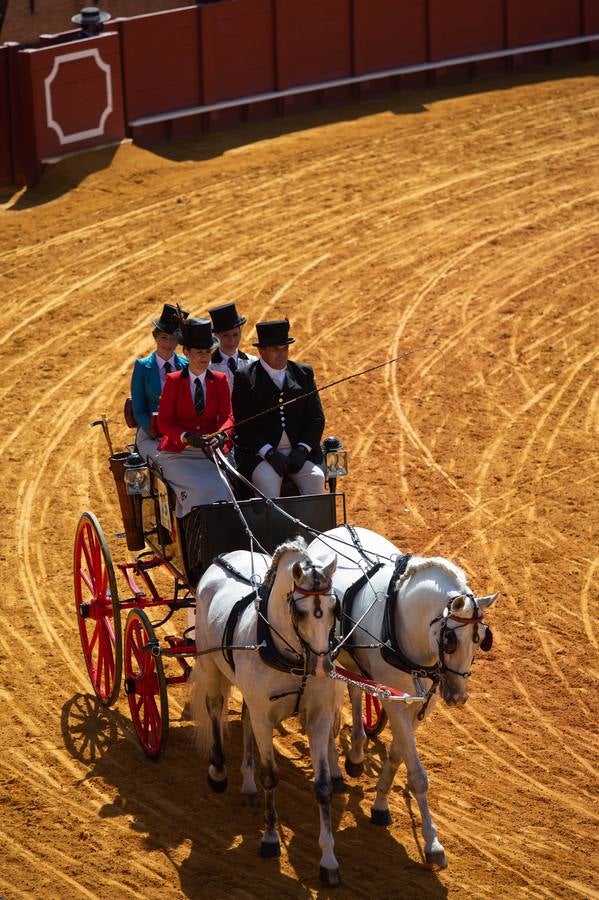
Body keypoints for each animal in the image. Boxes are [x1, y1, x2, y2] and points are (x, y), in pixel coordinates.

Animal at [190, 536, 344, 884]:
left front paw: (329, 859)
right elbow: (271, 776)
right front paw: (271, 838)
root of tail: (223, 558)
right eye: (300, 611)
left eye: (335, 607)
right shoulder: (265, 718)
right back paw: (218, 771)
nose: (322, 667)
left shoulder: (318, 717)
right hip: (209, 665)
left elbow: (323, 787)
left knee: (245, 717)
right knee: (215, 708)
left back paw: (247, 785)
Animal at [308, 524, 500, 868]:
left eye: (480, 639)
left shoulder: (420, 705)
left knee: (356, 691)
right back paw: (340, 761)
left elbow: (398, 756)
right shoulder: (396, 704)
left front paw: (380, 804)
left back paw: (356, 753)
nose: (458, 696)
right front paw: (433, 842)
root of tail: (335, 528)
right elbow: (418, 776)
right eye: (450, 640)